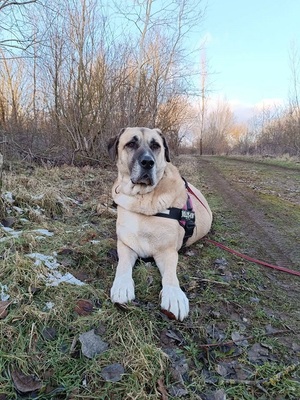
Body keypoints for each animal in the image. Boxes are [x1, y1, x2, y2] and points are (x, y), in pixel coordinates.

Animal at [106, 126, 212, 320]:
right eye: (131, 144)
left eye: (156, 145)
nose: (148, 162)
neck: (142, 198)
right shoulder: (125, 244)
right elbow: (123, 265)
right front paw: (122, 285)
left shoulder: (167, 251)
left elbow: (170, 273)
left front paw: (174, 294)